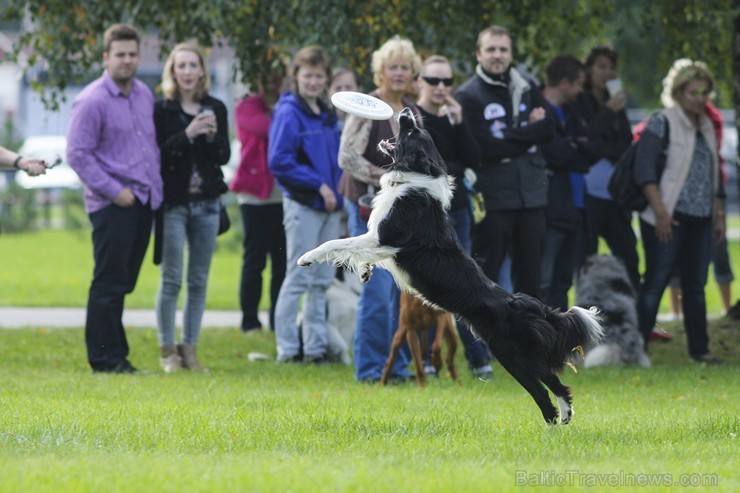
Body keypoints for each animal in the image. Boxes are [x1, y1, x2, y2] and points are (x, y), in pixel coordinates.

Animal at [298, 107, 604, 422]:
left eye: (412, 132)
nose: (406, 111)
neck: (416, 176)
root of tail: (522, 303)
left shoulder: (384, 238)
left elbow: (338, 243)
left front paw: (307, 257)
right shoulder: (382, 245)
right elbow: (360, 254)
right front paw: (364, 271)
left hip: (511, 355)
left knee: (544, 393)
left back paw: (554, 423)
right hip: (521, 355)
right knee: (556, 383)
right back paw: (566, 416)